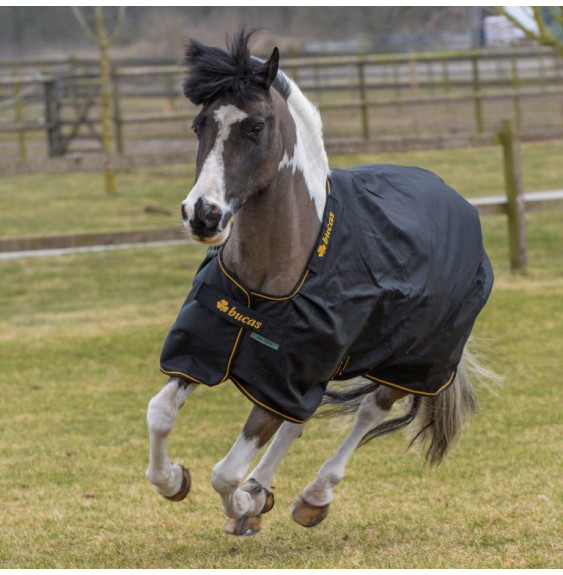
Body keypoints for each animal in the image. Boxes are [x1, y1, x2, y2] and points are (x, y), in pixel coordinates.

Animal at [145, 30, 494, 536]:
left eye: (255, 127)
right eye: (199, 125)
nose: (203, 215)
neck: (264, 289)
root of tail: (458, 201)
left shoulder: (282, 381)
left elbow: (225, 473)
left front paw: (242, 506)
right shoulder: (208, 355)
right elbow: (160, 414)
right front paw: (175, 480)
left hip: (413, 362)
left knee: (369, 412)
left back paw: (312, 497)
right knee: (300, 422)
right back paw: (263, 491)